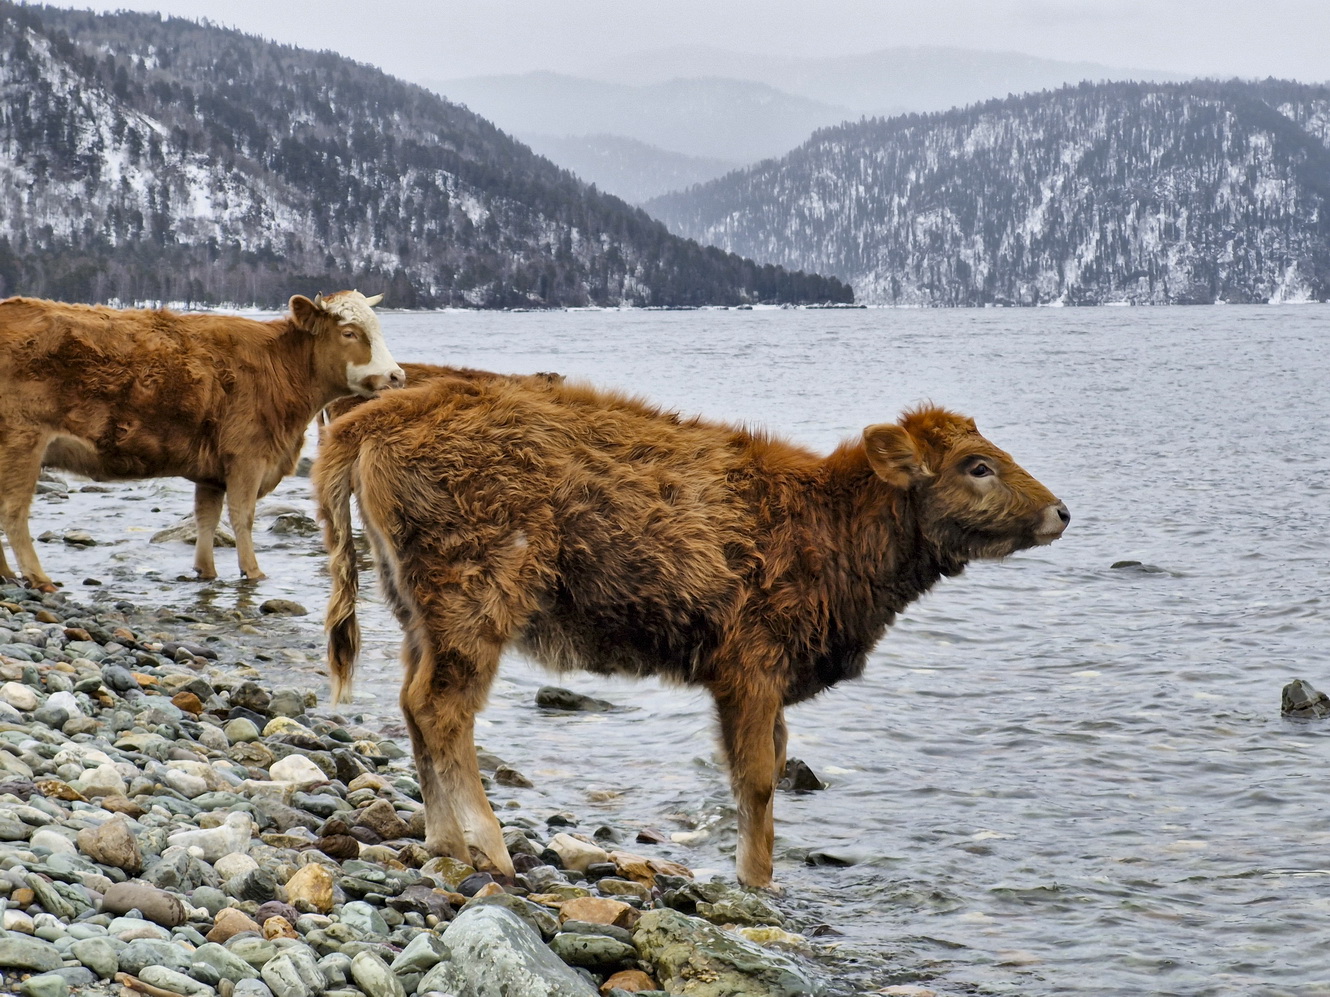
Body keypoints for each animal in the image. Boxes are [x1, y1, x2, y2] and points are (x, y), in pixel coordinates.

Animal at [1, 288, 404, 590]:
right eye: (349, 332)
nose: (396, 376)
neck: (278, 367)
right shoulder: (247, 457)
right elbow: (242, 516)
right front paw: (253, 571)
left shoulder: (212, 471)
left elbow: (206, 518)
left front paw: (205, 570)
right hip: (23, 443)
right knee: (14, 513)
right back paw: (38, 577)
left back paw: (7, 575)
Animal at [313, 377, 1069, 887]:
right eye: (977, 465)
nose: (1061, 510)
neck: (830, 522)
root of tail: (376, 416)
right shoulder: (749, 672)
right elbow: (756, 780)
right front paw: (757, 879)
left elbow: (770, 769)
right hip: (476, 607)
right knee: (444, 709)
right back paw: (490, 849)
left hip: (417, 613)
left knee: (414, 706)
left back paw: (444, 844)